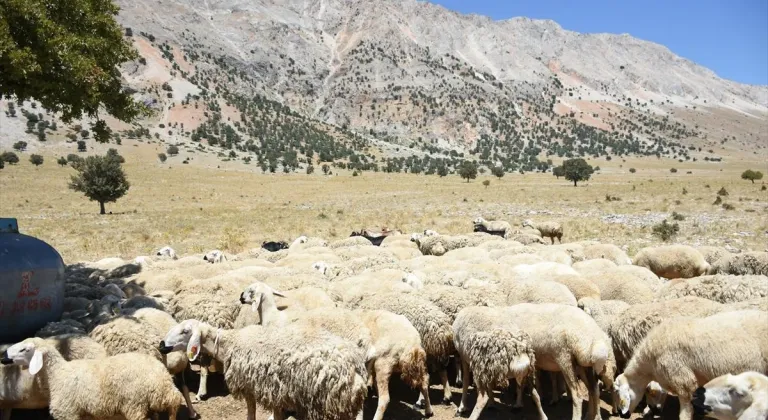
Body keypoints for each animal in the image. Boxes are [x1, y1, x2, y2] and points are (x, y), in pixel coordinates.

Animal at [1, 336, 183, 420]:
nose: (3, 357)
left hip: (135, 406)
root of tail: (164, 383)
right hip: (150, 408)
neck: (57, 375)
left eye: (24, 349)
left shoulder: (68, 413)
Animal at [159, 318, 368, 420]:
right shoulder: (275, 392)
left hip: (330, 401)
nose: (161, 345)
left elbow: (251, 414)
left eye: (185, 331)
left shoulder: (251, 388)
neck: (230, 343)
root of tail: (355, 364)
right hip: (344, 402)